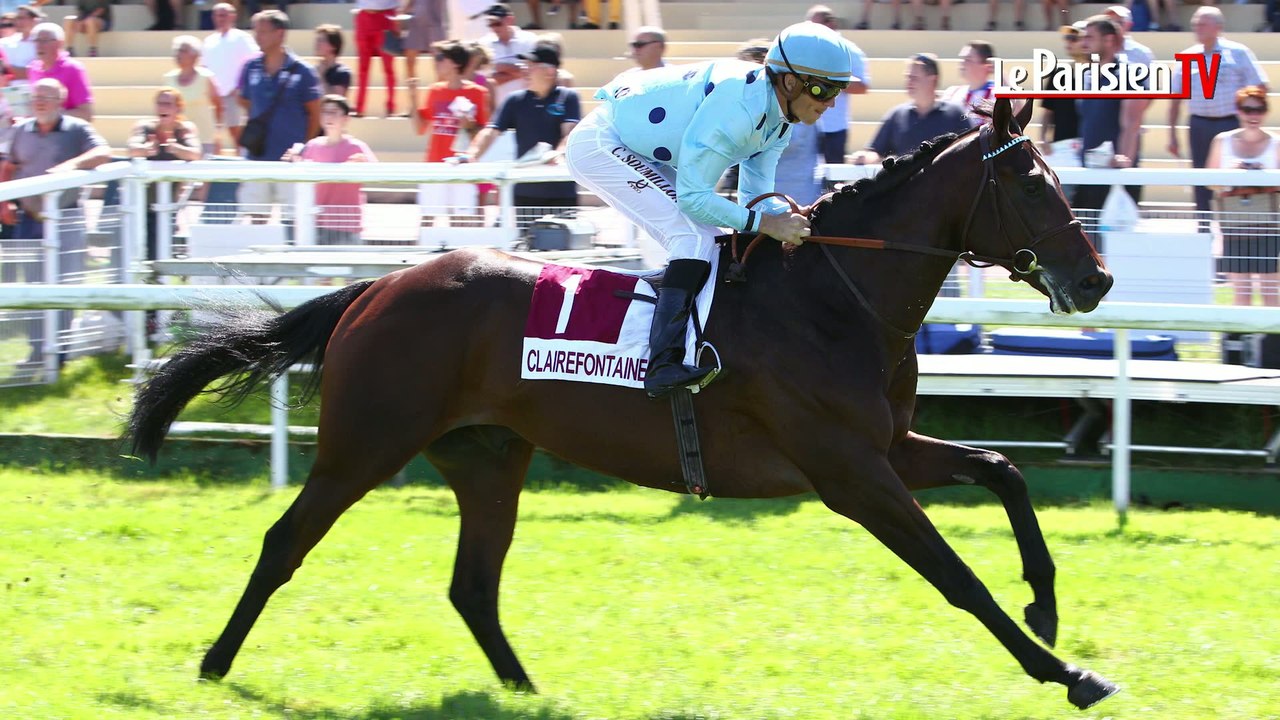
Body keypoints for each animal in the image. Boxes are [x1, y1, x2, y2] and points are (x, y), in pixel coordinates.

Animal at [124, 97, 1118, 709]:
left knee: (472, 584)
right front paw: (1065, 670)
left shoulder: (889, 445)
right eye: (1029, 182)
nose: (1097, 280)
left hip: (488, 456)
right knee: (284, 543)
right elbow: (956, 577)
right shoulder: (850, 472)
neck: (835, 296)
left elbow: (1004, 470)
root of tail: (380, 286)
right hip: (364, 446)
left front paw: (1047, 607)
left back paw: (528, 690)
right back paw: (214, 664)